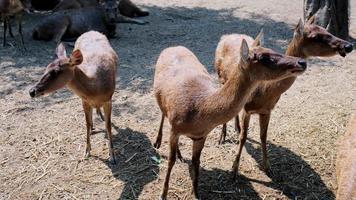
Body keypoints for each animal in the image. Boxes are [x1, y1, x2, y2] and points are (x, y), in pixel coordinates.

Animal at [28, 30, 118, 164]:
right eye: (46, 67)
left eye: (55, 72)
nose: (32, 91)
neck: (95, 89)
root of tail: (91, 31)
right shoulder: (84, 100)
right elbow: (87, 123)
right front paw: (87, 152)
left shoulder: (109, 99)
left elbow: (108, 125)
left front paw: (112, 156)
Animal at [152, 34, 306, 198]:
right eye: (265, 57)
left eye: (272, 49)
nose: (302, 62)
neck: (198, 110)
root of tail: (172, 46)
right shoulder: (175, 127)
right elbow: (170, 161)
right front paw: (163, 194)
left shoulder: (201, 136)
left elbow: (196, 162)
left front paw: (196, 193)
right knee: (162, 113)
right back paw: (157, 142)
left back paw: (180, 155)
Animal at [216, 16, 354, 174]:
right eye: (315, 36)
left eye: (327, 30)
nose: (348, 45)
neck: (264, 92)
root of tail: (226, 36)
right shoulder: (247, 108)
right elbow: (244, 137)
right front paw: (234, 169)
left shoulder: (267, 110)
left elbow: (263, 136)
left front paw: (267, 166)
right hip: (220, 78)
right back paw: (222, 137)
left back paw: (236, 128)